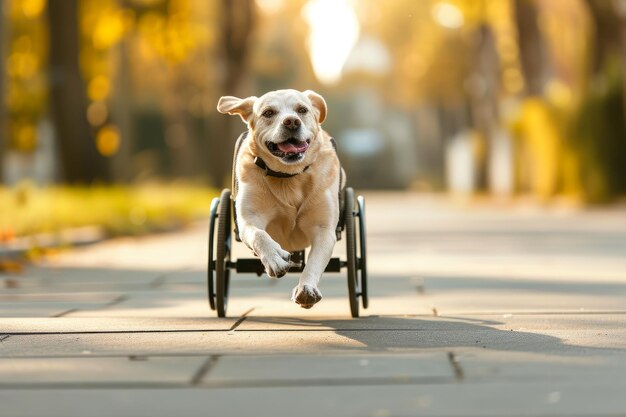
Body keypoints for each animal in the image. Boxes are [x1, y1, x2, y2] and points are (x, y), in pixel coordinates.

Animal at [214, 88, 342, 308]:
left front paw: (306, 288)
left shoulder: (324, 229)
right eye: (268, 113)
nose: (292, 122)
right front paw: (274, 258)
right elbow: (259, 235)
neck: (288, 176)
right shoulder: (248, 220)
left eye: (302, 110)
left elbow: (315, 261)